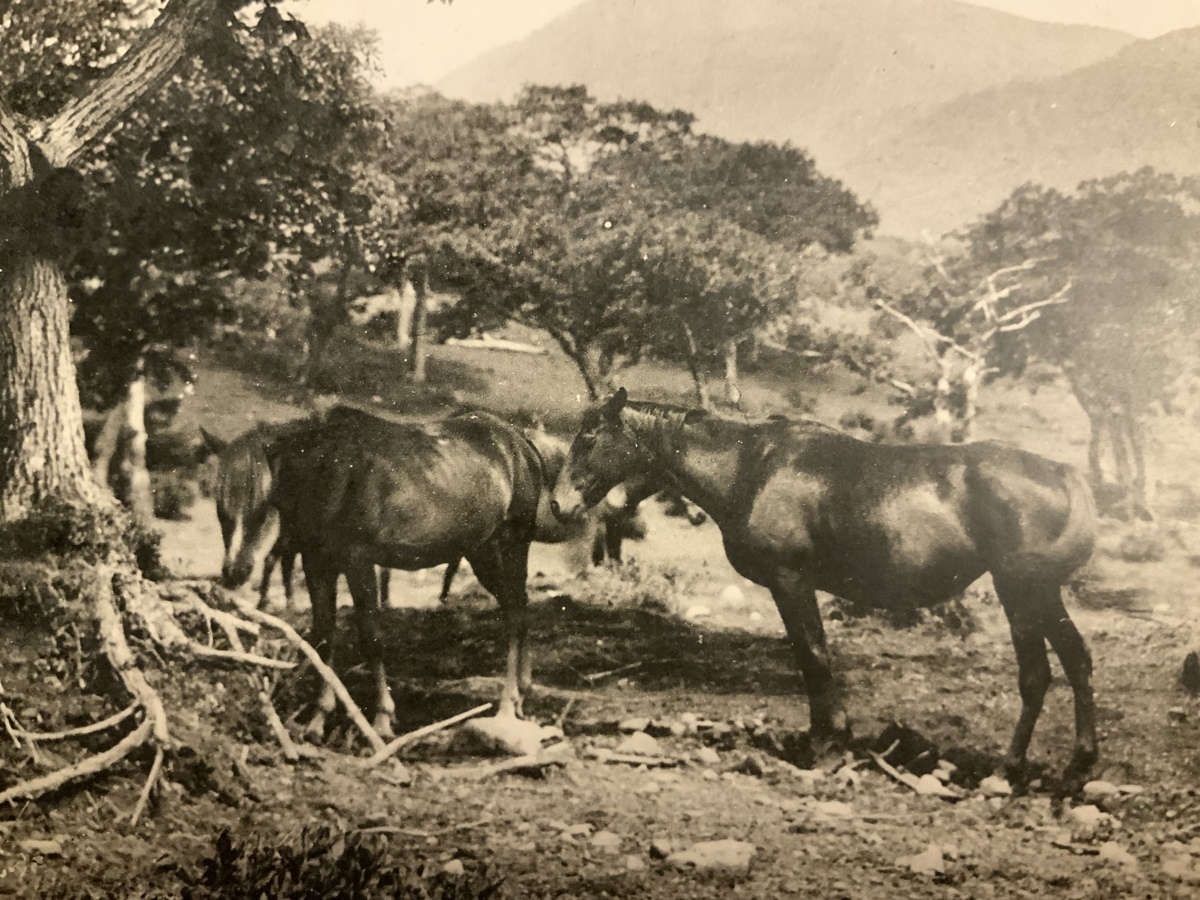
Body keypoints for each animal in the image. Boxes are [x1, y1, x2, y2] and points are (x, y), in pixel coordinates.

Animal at [222, 405, 546, 736]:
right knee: (518, 607)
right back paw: (522, 692)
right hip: (480, 552)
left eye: (261, 509)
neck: (329, 469)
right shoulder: (317, 563)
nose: (234, 572)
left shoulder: (359, 562)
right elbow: (324, 636)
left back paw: (508, 702)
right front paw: (318, 718)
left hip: (509, 545)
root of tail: (520, 442)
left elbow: (371, 638)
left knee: (515, 613)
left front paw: (381, 718)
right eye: (222, 511)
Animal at [550, 390, 1099, 786]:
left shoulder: (791, 582)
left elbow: (812, 656)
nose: (559, 504)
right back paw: (1071, 769)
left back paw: (1013, 769)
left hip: (1024, 592)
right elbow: (810, 658)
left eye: (589, 437)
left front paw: (827, 744)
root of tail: (1061, 472)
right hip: (1033, 595)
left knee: (1041, 673)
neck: (750, 466)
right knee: (1069, 665)